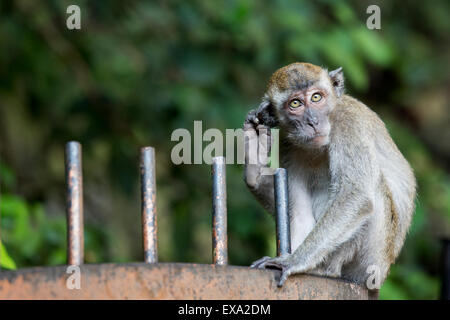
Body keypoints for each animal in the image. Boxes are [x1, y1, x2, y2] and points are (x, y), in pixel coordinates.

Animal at [244, 62, 416, 288]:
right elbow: (300, 213)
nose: (312, 121)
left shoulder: (349, 125)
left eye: (316, 97)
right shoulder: (288, 146)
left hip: (373, 260)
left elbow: (356, 196)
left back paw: (325, 270)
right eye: (295, 103)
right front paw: (255, 162)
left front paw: (292, 261)